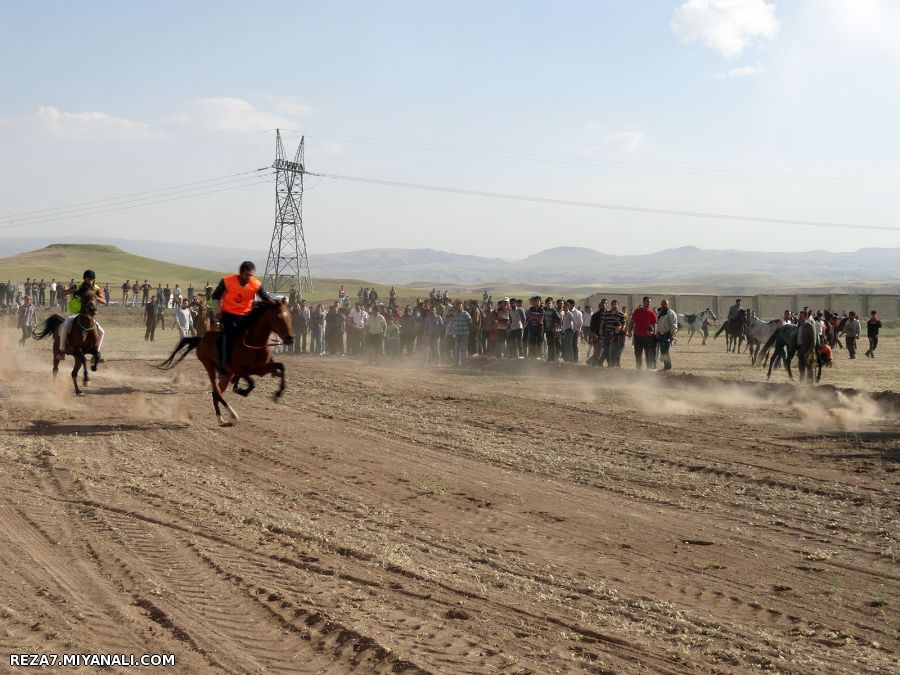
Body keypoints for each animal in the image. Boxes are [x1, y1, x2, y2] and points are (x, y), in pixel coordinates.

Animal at [156, 302, 294, 426]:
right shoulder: (238, 369)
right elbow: (251, 383)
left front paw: (278, 393)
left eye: (289, 316)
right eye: (277, 317)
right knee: (217, 392)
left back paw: (221, 419)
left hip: (227, 374)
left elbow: (281, 367)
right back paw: (232, 415)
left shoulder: (260, 369)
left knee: (216, 393)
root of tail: (201, 338)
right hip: (209, 366)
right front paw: (241, 390)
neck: (252, 342)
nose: (290, 338)